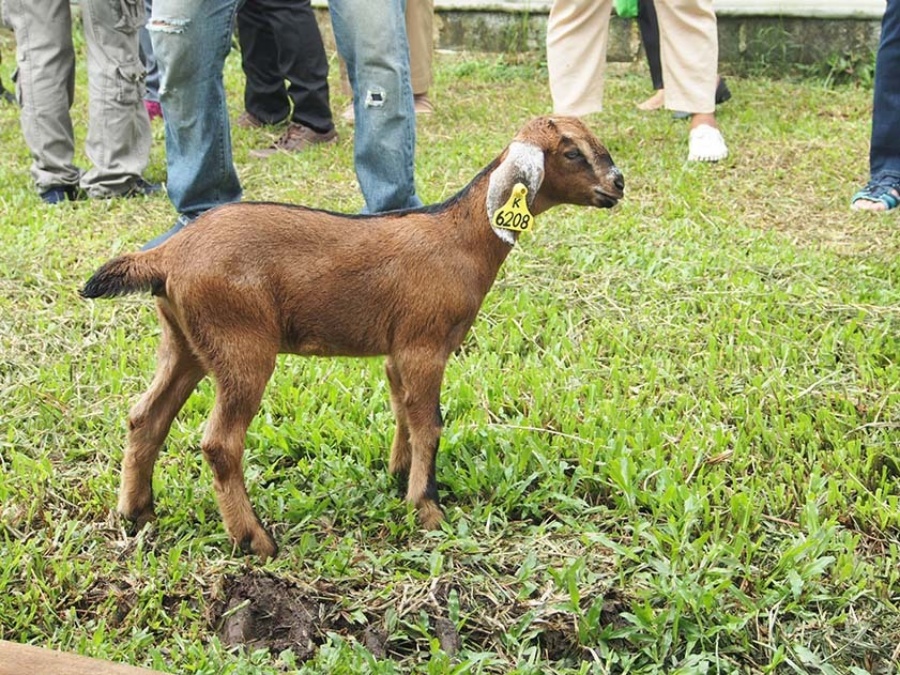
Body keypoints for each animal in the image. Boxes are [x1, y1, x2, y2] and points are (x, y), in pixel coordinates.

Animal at [81, 115, 624, 560]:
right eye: (572, 152)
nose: (618, 184)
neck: (459, 239)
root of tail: (167, 255)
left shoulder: (398, 349)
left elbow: (404, 410)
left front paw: (398, 475)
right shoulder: (425, 345)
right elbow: (431, 423)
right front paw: (427, 510)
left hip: (185, 343)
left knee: (145, 417)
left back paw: (137, 512)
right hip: (241, 344)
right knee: (219, 443)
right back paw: (254, 539)